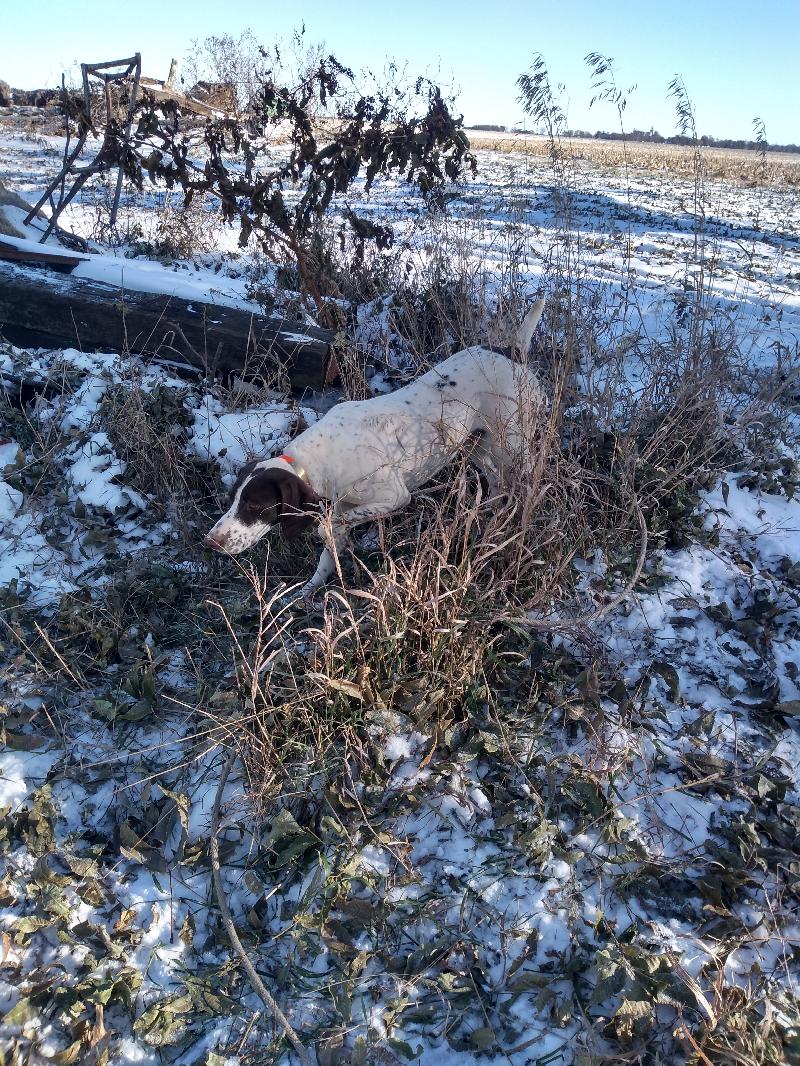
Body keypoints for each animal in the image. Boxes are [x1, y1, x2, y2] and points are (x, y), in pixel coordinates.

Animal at [203, 300, 550, 601]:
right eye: (232, 499)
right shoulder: (343, 503)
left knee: (525, 480)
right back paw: (491, 519)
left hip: (513, 443)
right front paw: (308, 592)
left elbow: (336, 526)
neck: (317, 459)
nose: (211, 542)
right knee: (497, 482)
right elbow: (328, 553)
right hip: (477, 443)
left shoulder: (393, 497)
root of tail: (512, 351)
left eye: (255, 505)